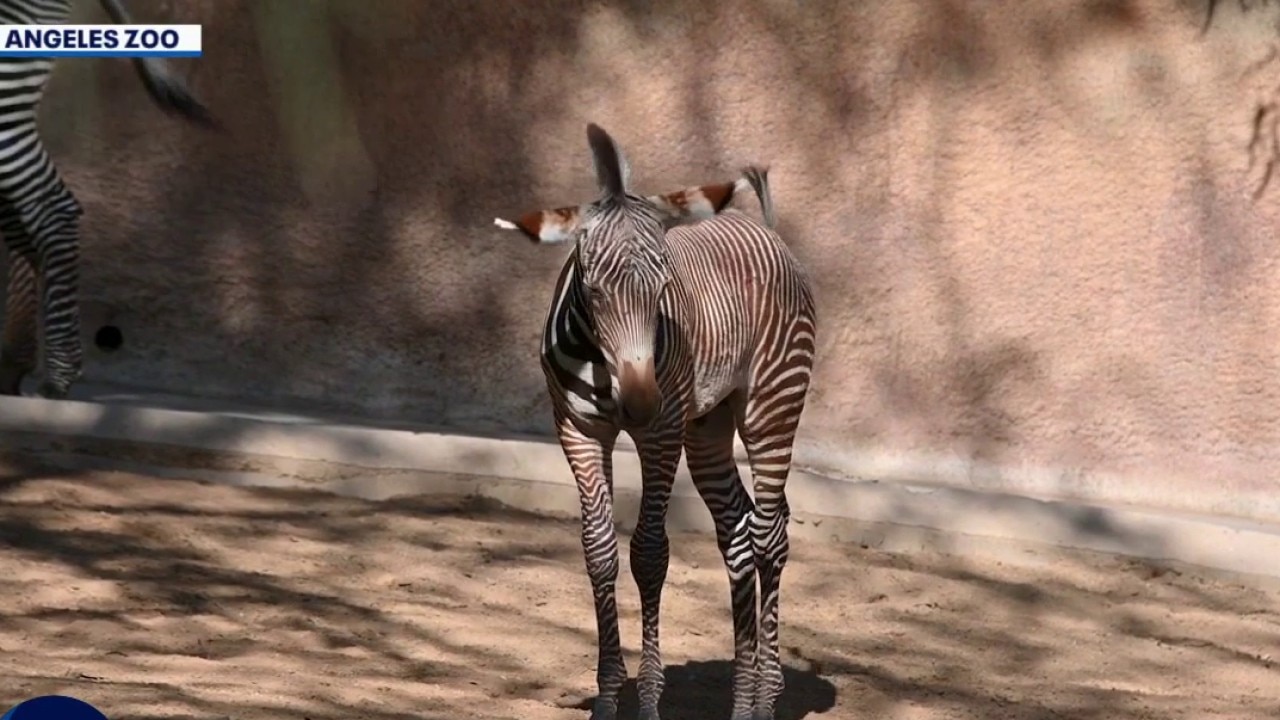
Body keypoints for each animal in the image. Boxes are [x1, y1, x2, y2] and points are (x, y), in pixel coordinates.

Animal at [494, 123, 817, 720]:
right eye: (592, 288)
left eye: (665, 286)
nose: (639, 404)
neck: (605, 362)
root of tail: (760, 227)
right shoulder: (577, 431)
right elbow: (598, 550)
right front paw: (605, 697)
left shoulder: (661, 434)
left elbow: (649, 553)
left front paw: (646, 702)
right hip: (707, 427)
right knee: (739, 532)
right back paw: (742, 702)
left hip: (771, 406)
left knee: (770, 534)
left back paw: (765, 699)